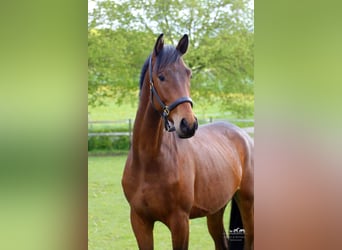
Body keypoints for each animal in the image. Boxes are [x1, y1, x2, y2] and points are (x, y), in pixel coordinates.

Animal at [121, 33, 252, 250]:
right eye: (161, 76)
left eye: (188, 74)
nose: (188, 124)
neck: (149, 161)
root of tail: (244, 136)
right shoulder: (140, 221)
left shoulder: (180, 222)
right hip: (216, 210)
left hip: (247, 203)